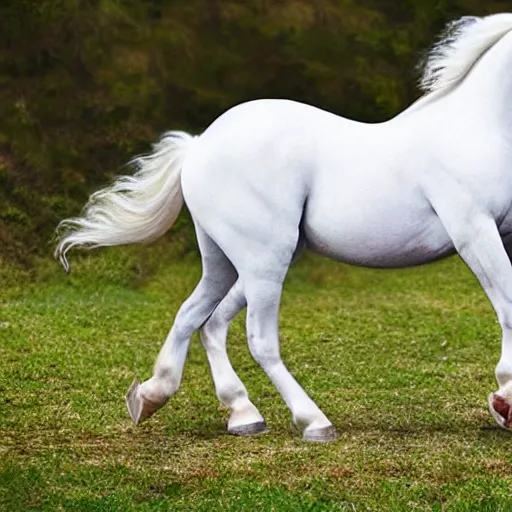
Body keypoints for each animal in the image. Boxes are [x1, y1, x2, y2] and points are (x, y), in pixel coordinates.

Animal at [56, 14, 512, 442]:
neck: (480, 127)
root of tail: (198, 146)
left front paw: (502, 401)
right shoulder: (474, 232)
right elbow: (507, 304)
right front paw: (505, 402)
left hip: (233, 262)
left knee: (200, 318)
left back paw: (198, 406)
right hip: (264, 262)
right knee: (256, 339)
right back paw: (313, 422)